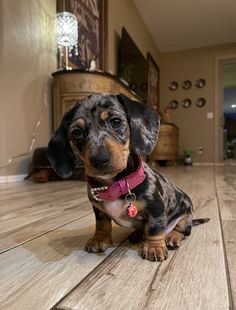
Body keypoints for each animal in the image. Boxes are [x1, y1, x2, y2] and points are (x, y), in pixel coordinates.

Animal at [47, 92, 208, 262]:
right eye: (76, 132)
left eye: (116, 121)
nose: (99, 160)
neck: (115, 184)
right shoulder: (99, 210)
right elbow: (102, 224)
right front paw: (99, 239)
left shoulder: (156, 207)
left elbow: (155, 228)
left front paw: (155, 247)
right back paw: (138, 234)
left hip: (185, 217)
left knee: (183, 230)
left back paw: (171, 237)